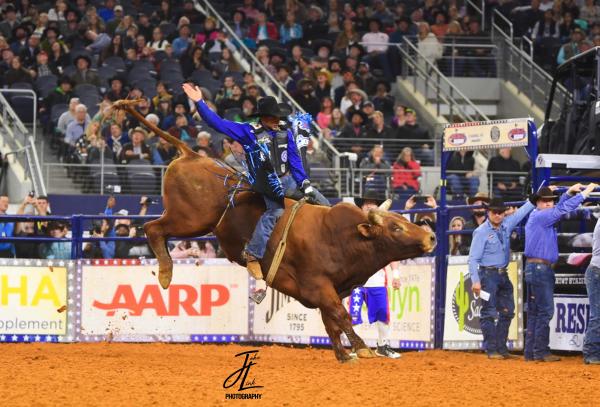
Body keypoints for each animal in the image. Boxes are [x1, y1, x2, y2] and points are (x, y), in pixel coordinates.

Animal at [111, 99, 436, 364]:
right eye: (395, 227)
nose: (431, 237)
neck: (341, 236)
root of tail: (192, 155)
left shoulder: (331, 290)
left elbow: (331, 321)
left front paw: (344, 355)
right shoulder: (318, 285)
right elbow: (341, 315)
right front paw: (363, 349)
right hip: (190, 220)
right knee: (153, 228)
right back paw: (166, 273)